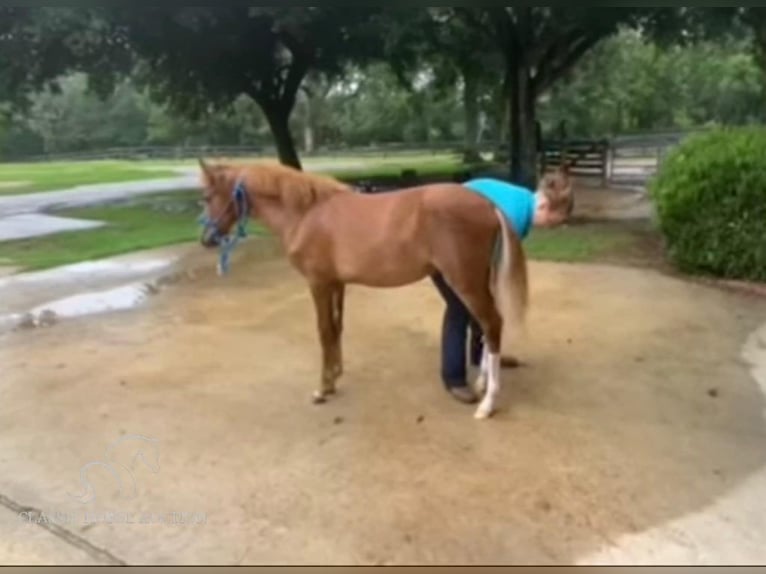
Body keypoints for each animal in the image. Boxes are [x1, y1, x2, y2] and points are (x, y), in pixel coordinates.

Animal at [196, 160, 544, 420]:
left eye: (207, 196)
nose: (206, 240)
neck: (307, 214)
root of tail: (487, 203)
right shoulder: (336, 284)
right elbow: (336, 329)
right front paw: (334, 377)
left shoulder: (318, 283)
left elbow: (323, 331)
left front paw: (322, 389)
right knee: (486, 325)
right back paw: (482, 383)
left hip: (465, 281)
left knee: (492, 323)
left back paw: (487, 403)